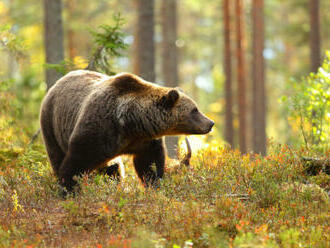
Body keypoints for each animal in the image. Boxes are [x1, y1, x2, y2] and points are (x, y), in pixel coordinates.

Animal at [40, 70, 214, 192]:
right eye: (194, 110)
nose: (210, 123)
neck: (130, 123)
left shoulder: (144, 141)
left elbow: (148, 164)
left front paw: (154, 184)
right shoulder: (99, 129)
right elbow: (77, 161)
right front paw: (68, 188)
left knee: (113, 168)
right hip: (52, 125)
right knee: (57, 155)